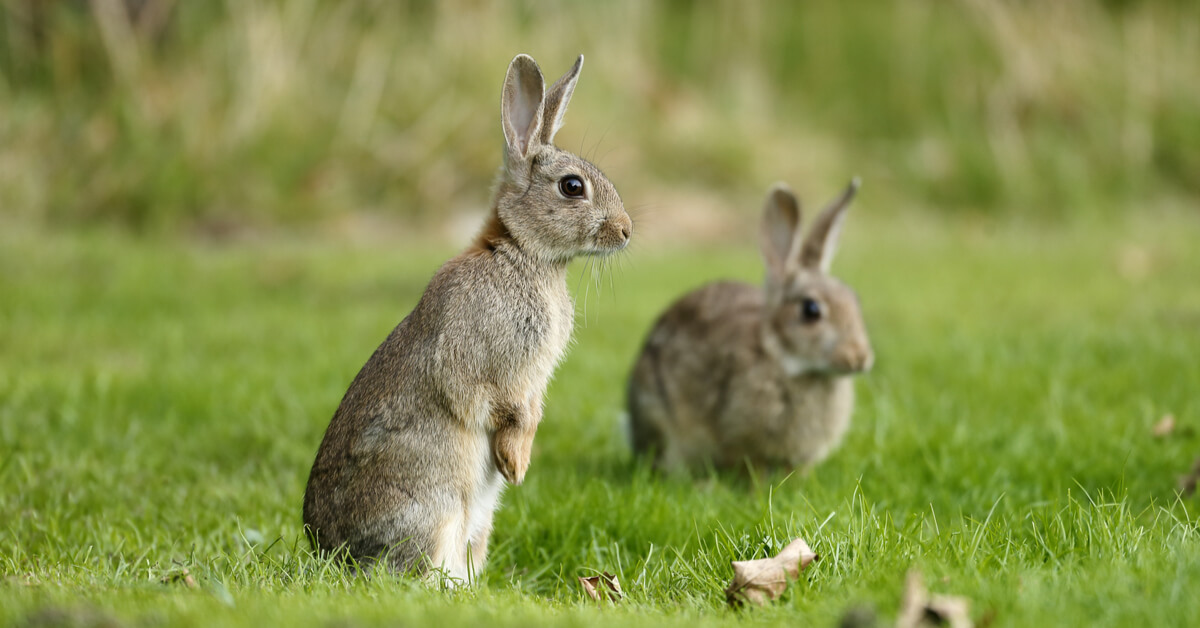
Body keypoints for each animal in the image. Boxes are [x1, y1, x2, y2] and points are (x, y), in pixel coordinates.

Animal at [303, 54, 632, 583]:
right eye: (572, 187)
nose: (626, 231)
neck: (521, 253)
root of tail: (329, 552)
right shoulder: (482, 365)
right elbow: (498, 406)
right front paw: (516, 466)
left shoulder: (532, 381)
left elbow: (529, 410)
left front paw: (516, 467)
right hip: (435, 510)